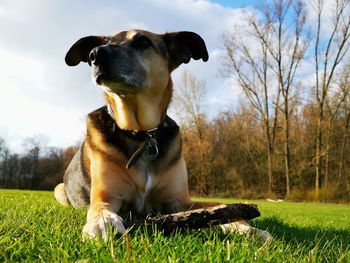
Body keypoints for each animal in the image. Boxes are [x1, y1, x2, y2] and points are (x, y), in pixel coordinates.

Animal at [54, 29, 270, 243]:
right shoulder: (106, 195)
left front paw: (246, 228)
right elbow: (100, 208)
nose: (95, 54)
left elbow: (216, 207)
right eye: (105, 41)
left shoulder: (179, 201)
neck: (142, 134)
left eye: (143, 41)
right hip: (59, 189)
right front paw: (103, 223)